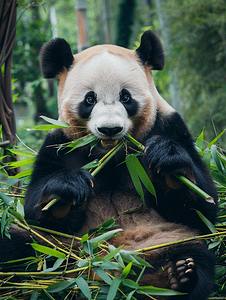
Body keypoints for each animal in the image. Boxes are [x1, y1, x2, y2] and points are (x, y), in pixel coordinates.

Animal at [0, 31, 218, 300]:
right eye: (89, 99)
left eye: (126, 97)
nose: (110, 129)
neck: (110, 154)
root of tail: (105, 269)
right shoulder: (59, 142)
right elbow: (35, 212)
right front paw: (67, 190)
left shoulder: (169, 127)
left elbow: (203, 208)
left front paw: (167, 161)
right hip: (59, 248)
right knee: (17, 247)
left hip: (167, 237)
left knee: (196, 255)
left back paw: (178, 276)